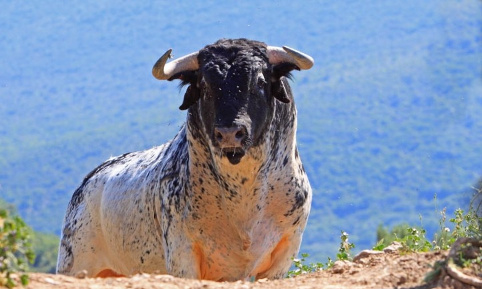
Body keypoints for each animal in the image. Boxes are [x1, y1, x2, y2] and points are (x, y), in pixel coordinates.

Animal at [56, 37, 314, 280]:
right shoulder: (182, 253)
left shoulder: (284, 252)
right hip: (74, 263)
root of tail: (89, 181)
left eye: (260, 82)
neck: (243, 197)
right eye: (205, 86)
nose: (230, 133)